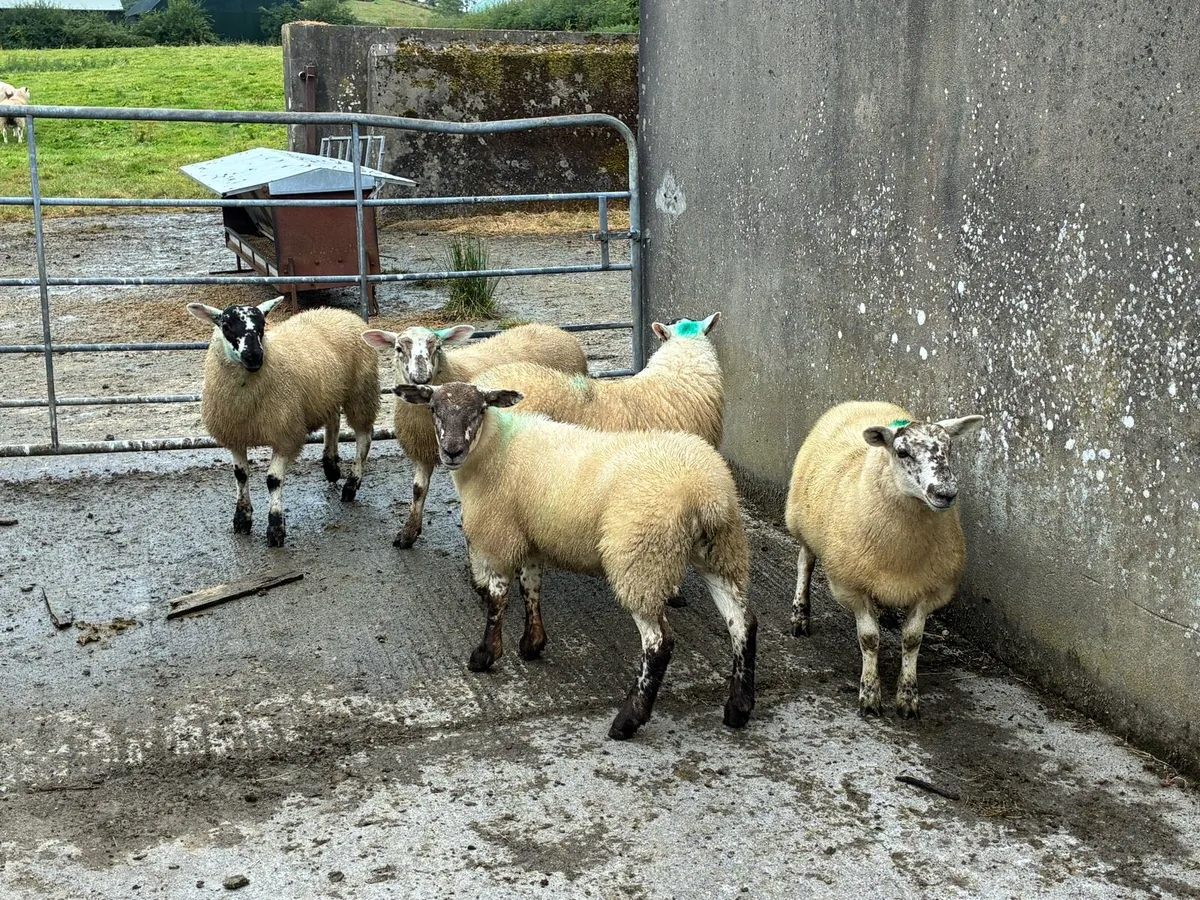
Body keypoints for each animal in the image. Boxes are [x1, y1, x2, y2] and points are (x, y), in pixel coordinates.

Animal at [188, 296, 381, 548]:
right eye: (227, 326)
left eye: (262, 325)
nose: (254, 356)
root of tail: (339, 312)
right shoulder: (236, 434)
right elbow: (241, 475)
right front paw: (242, 519)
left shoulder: (285, 434)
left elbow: (273, 480)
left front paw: (275, 528)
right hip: (328, 392)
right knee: (333, 421)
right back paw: (330, 466)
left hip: (361, 391)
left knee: (364, 437)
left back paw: (351, 484)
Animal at [361, 322, 587, 548]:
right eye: (398, 349)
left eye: (438, 347)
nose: (421, 378)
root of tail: (551, 328)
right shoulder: (424, 448)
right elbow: (418, 489)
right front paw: (408, 532)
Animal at [394, 380, 758, 740]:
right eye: (433, 409)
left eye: (480, 409)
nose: (451, 451)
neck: (495, 449)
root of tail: (704, 494)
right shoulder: (531, 534)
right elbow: (530, 587)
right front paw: (532, 643)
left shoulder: (499, 536)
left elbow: (498, 600)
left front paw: (485, 655)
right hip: (720, 552)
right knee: (741, 622)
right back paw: (738, 708)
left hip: (641, 559)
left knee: (659, 643)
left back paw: (628, 720)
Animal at [785, 401, 983, 718]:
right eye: (902, 452)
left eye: (949, 448)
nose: (945, 493)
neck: (901, 553)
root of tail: (860, 402)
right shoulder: (851, 586)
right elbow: (869, 639)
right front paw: (869, 695)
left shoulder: (928, 589)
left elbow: (912, 640)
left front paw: (908, 698)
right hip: (802, 523)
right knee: (805, 562)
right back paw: (800, 616)